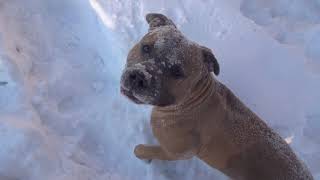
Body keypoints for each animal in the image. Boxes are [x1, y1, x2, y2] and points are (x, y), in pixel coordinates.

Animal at [119, 13, 312, 180]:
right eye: (146, 47)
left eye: (177, 72)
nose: (138, 77)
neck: (190, 101)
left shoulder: (175, 152)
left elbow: (143, 149)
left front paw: (142, 152)